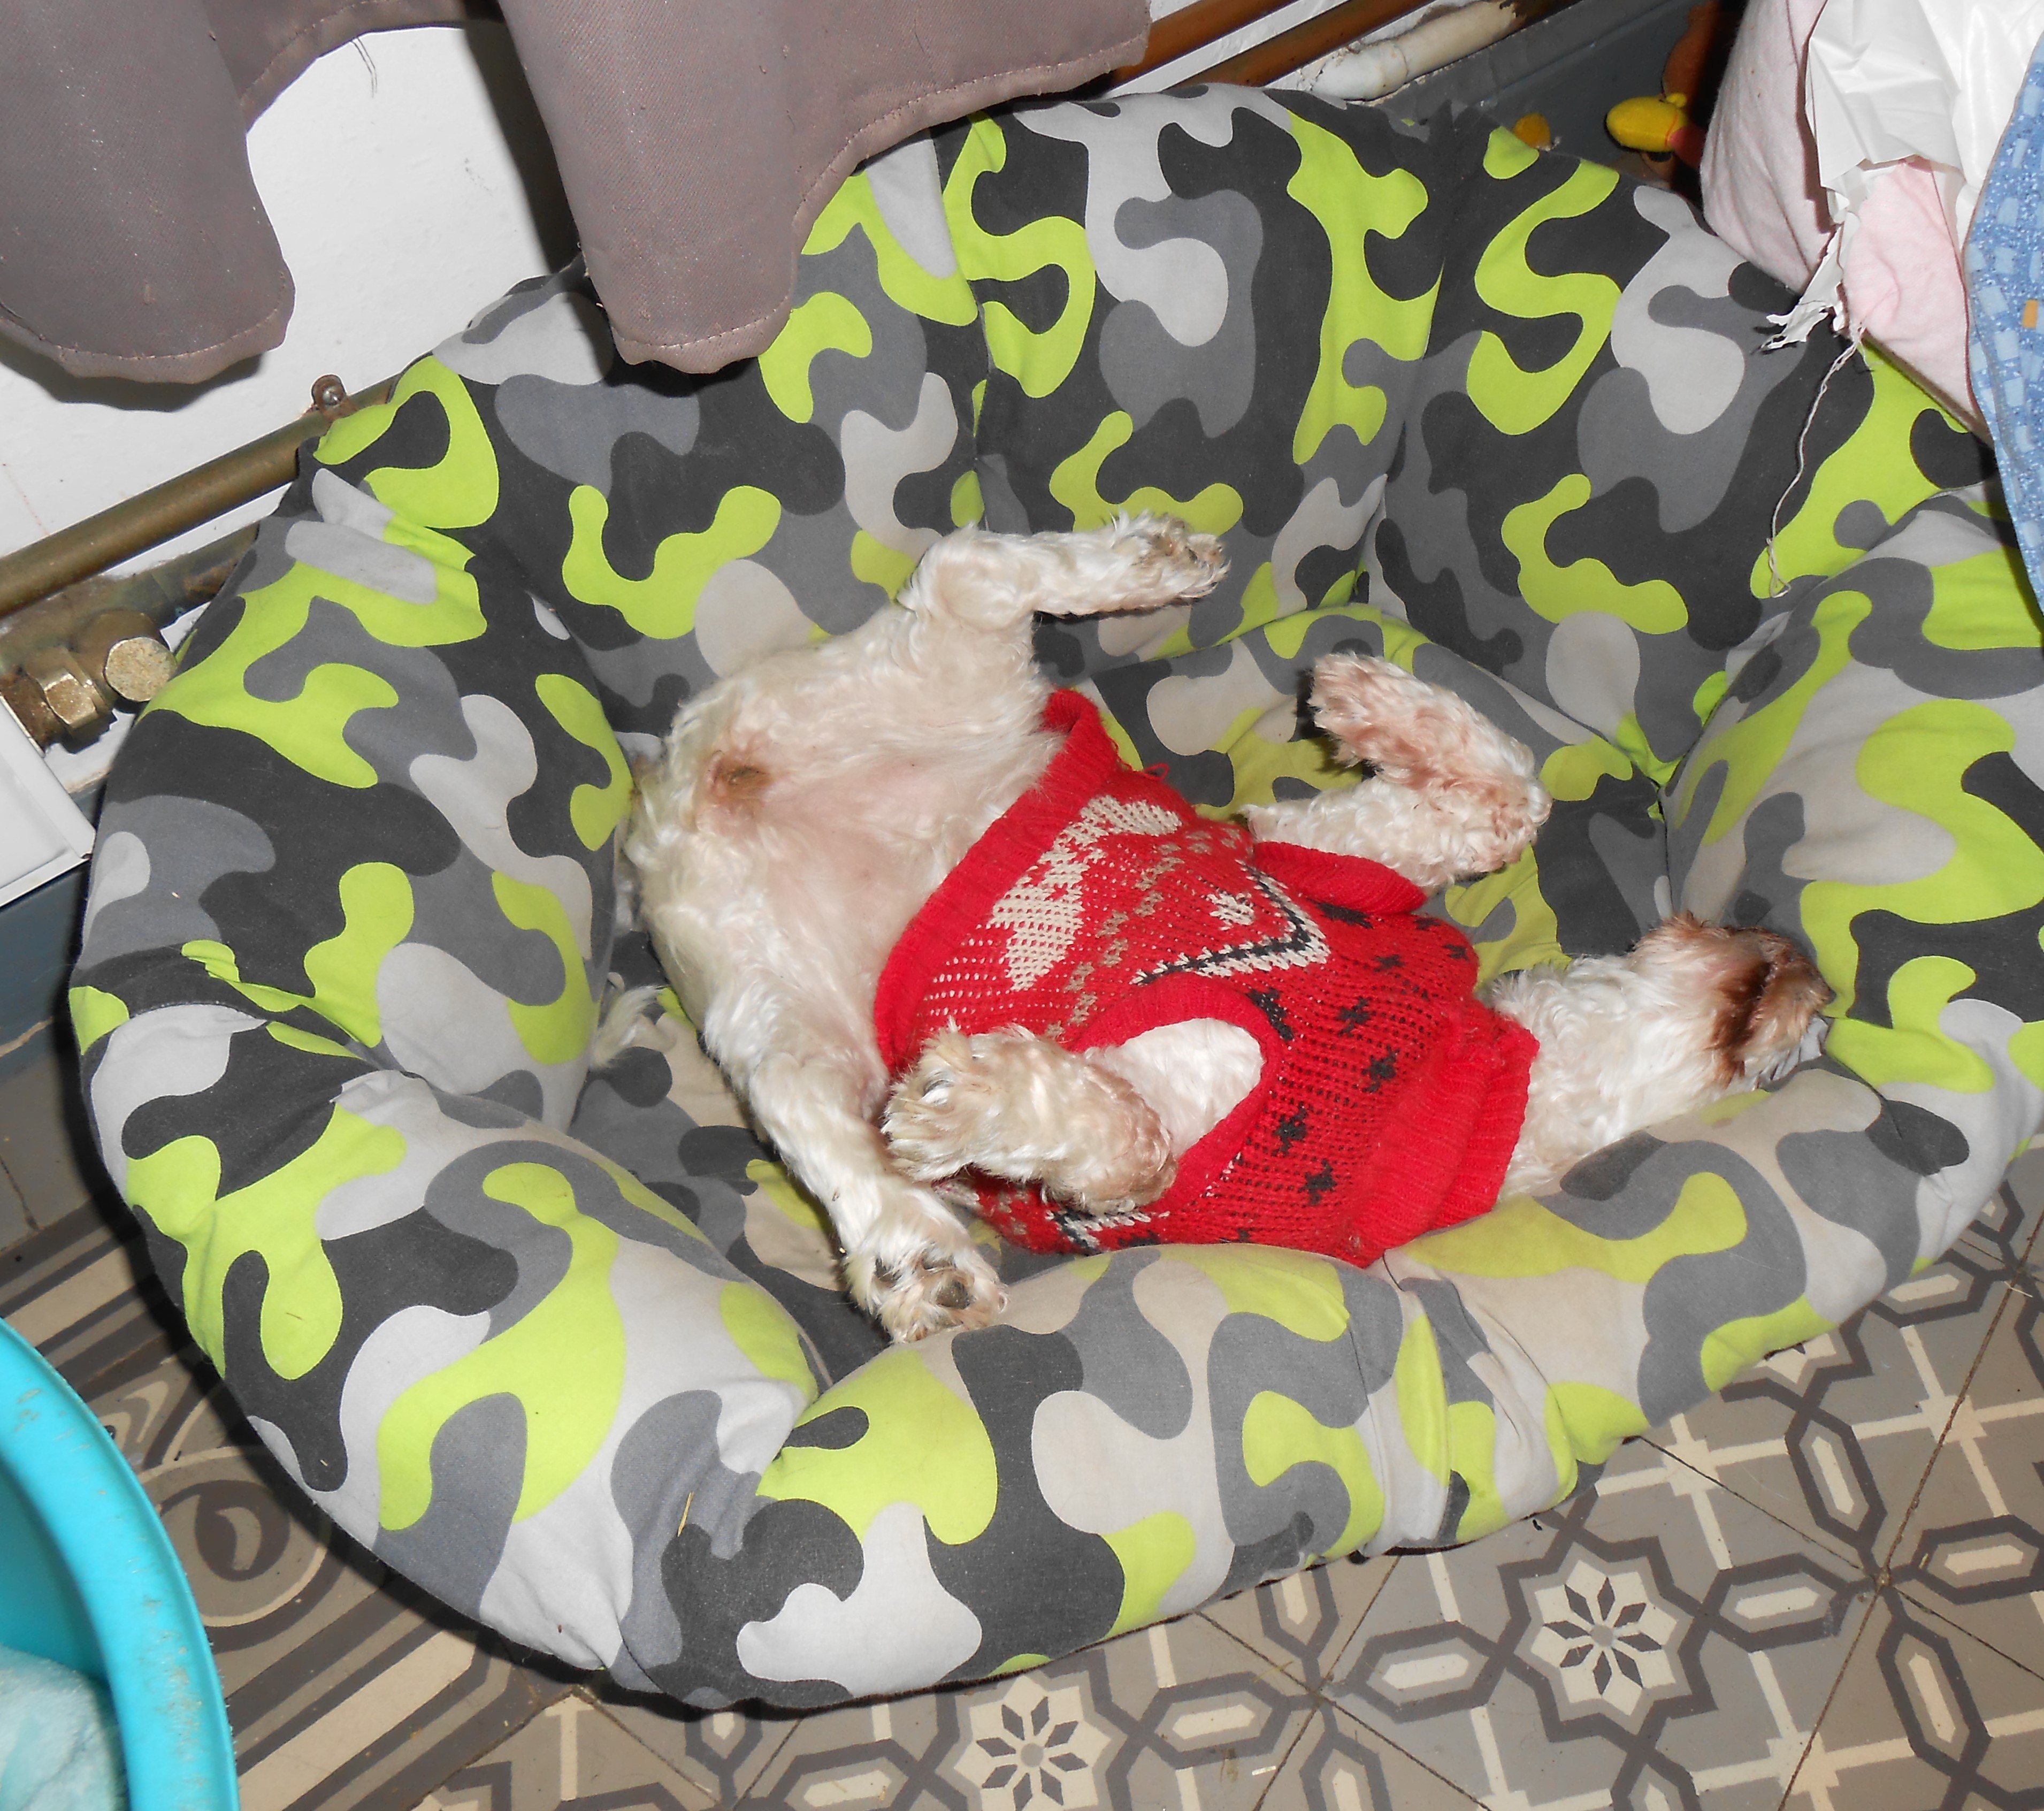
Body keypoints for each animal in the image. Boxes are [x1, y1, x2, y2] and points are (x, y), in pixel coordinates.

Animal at [621, 515, 1831, 1341]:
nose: (1808, 967)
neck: (1503, 1080)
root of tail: (686, 797)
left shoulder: (1160, 1178)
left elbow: (1133, 1138)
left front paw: (968, 1097)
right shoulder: (1327, 860)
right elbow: (1505, 797)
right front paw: (1362, 696)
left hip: (782, 1011)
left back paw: (918, 1256)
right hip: (909, 697)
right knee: (974, 566)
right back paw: (1154, 564)